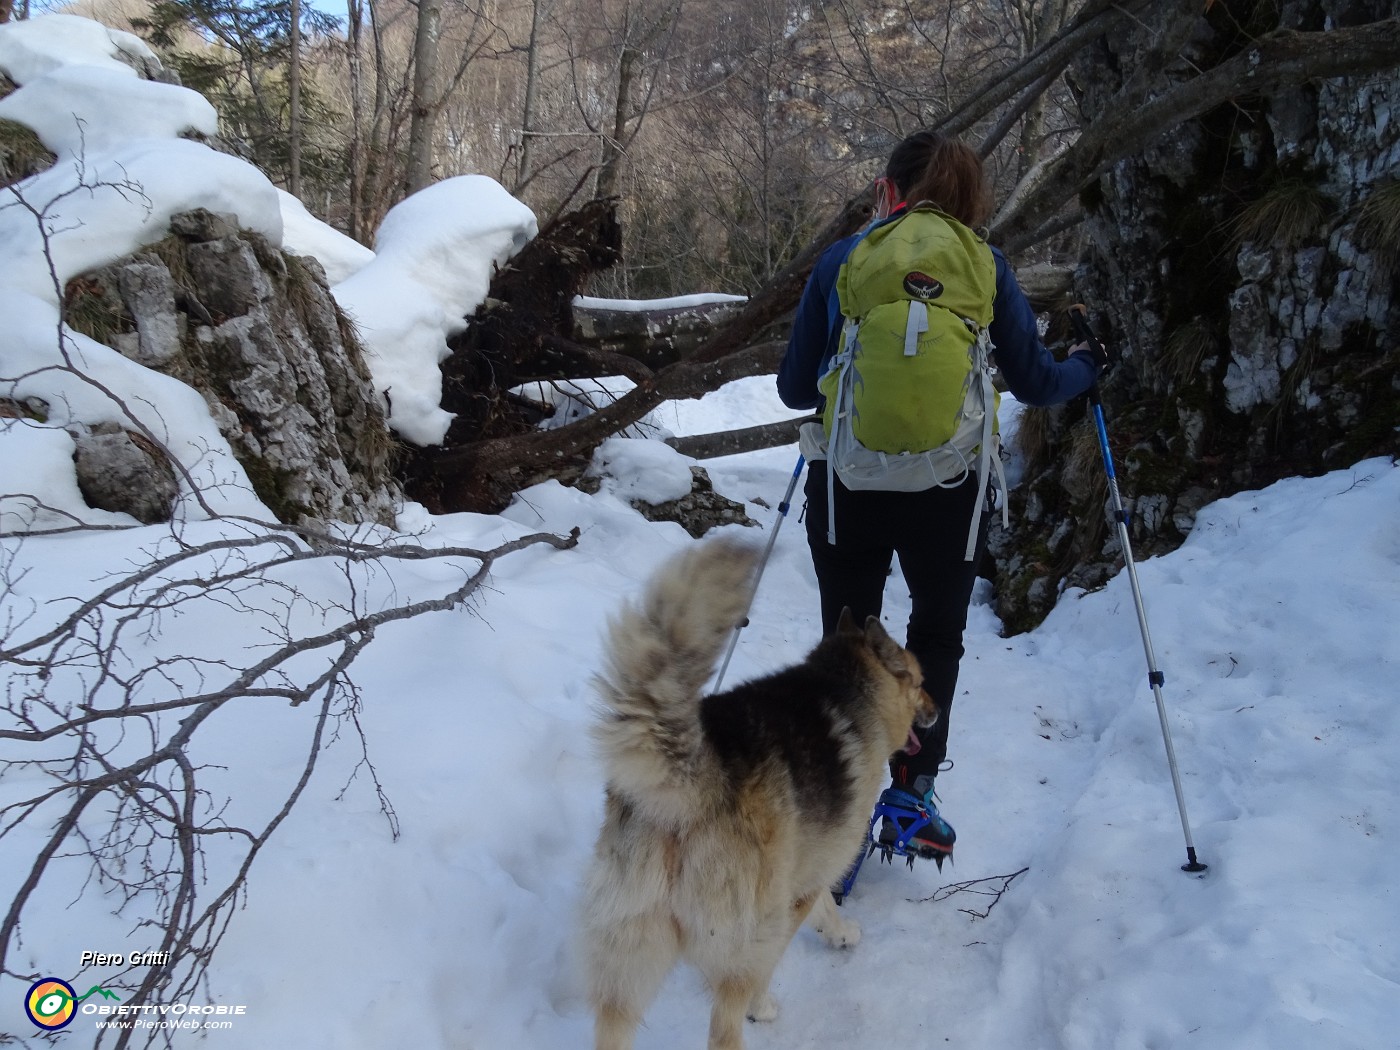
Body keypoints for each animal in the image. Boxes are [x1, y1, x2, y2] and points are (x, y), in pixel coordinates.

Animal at [579, 537, 940, 1047]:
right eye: (920, 682)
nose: (937, 709)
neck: (849, 689)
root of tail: (691, 780)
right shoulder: (802, 885)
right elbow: (800, 930)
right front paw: (763, 1003)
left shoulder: (807, 869)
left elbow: (826, 909)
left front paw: (840, 933)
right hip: (741, 930)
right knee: (723, 1026)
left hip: (631, 948)